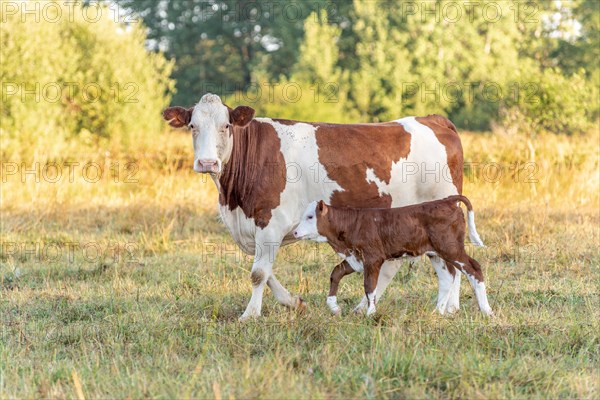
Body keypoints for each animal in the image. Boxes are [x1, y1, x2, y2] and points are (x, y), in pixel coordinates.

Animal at [163, 92, 464, 320]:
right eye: (192, 126)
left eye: (225, 126)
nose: (207, 163)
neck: (233, 201)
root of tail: (434, 119)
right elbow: (266, 271)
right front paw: (294, 302)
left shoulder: (270, 222)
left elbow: (258, 273)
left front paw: (250, 314)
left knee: (450, 262)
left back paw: (448, 308)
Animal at [292, 196, 492, 316]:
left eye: (310, 217)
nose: (294, 232)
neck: (352, 224)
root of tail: (447, 200)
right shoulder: (355, 258)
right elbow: (336, 273)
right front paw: (333, 305)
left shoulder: (373, 257)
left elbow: (369, 286)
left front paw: (371, 313)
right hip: (435, 253)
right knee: (447, 277)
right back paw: (437, 311)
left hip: (451, 248)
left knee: (474, 268)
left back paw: (486, 310)